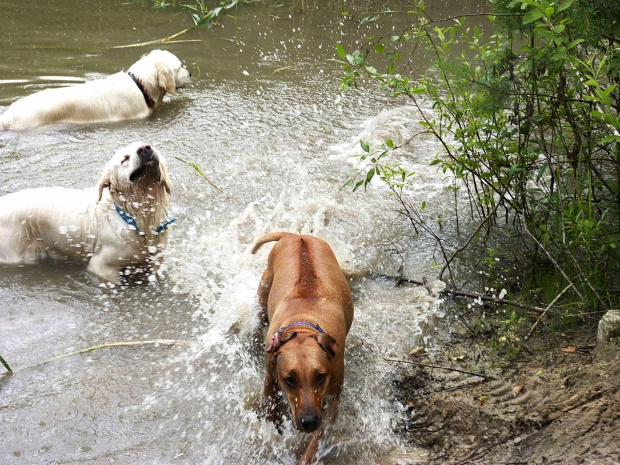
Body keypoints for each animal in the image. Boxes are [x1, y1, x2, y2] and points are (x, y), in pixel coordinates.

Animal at [249, 230, 352, 462]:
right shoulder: (271, 375)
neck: (304, 324)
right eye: (290, 380)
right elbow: (270, 408)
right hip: (263, 293)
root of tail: (296, 235)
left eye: (320, 377)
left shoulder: (332, 399)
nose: (309, 422)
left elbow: (318, 440)